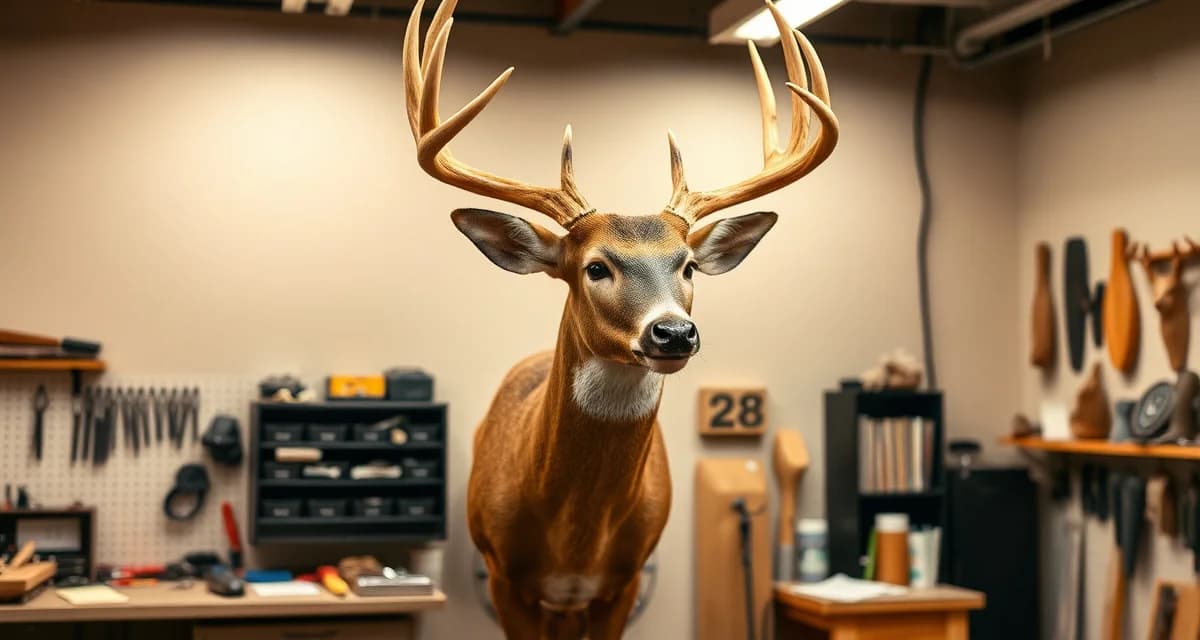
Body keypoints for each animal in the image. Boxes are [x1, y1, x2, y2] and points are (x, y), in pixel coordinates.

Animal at [402, 1, 838, 637]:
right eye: (595, 267)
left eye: (688, 266)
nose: (674, 332)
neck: (575, 536)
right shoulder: (505, 577)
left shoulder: (625, 579)